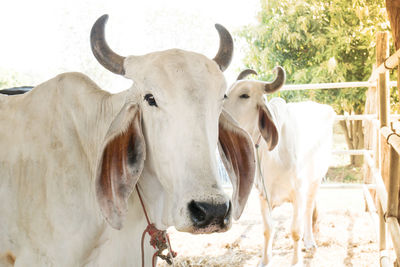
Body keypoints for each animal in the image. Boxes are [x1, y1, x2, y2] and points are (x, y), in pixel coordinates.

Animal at [223, 68, 336, 266]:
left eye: (245, 95)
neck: (275, 157)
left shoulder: (298, 193)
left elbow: (295, 231)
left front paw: (296, 261)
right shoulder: (263, 194)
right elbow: (268, 229)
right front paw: (265, 260)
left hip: (315, 180)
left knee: (308, 211)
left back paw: (309, 241)